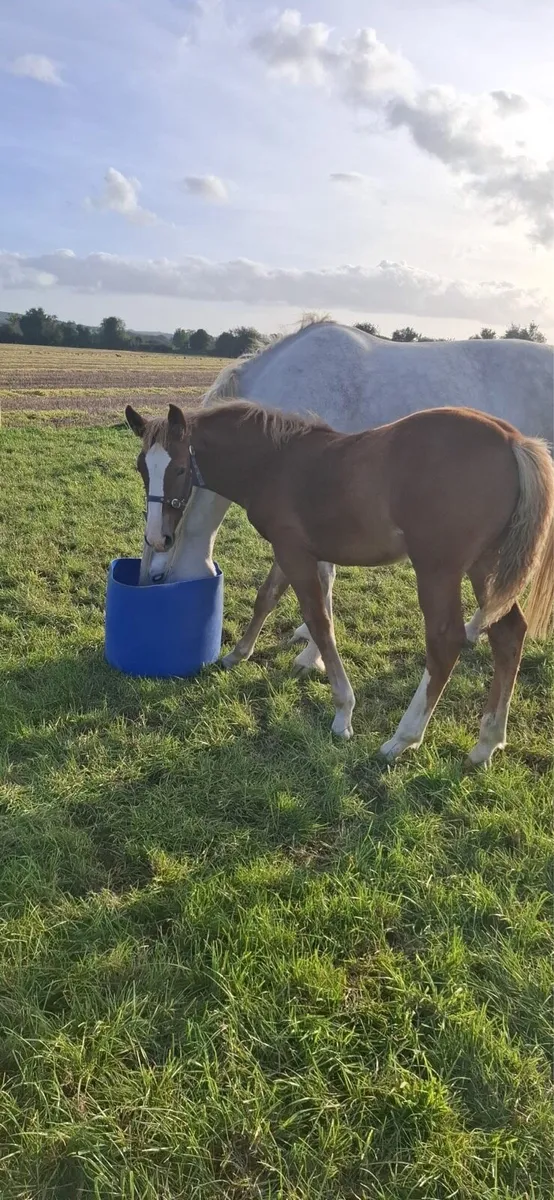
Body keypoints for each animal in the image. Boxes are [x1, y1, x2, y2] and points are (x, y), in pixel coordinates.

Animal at [125, 399, 554, 768]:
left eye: (180, 468)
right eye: (142, 468)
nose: (158, 538)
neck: (274, 463)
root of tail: (513, 440)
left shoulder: (294, 554)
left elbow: (319, 621)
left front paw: (342, 712)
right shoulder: (295, 551)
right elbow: (269, 598)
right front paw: (238, 654)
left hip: (438, 570)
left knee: (445, 641)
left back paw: (403, 739)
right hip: (486, 566)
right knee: (508, 634)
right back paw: (486, 744)